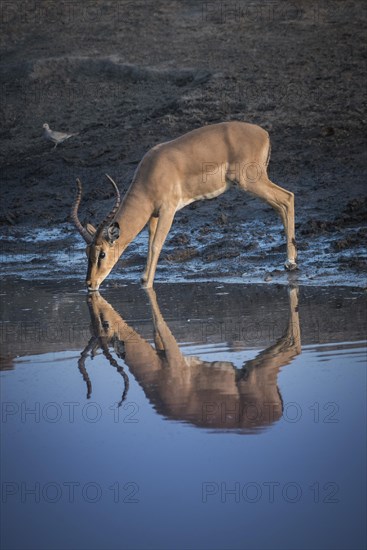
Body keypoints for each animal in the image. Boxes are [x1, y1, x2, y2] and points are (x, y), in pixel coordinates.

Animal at [71, 122, 296, 292]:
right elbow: (150, 242)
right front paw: (143, 278)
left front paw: (147, 284)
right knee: (282, 204)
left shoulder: (168, 211)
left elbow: (156, 245)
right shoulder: (153, 215)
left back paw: (291, 262)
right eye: (86, 252)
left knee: (288, 197)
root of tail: (264, 134)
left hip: (250, 182)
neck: (151, 173)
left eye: (102, 254)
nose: (90, 283)